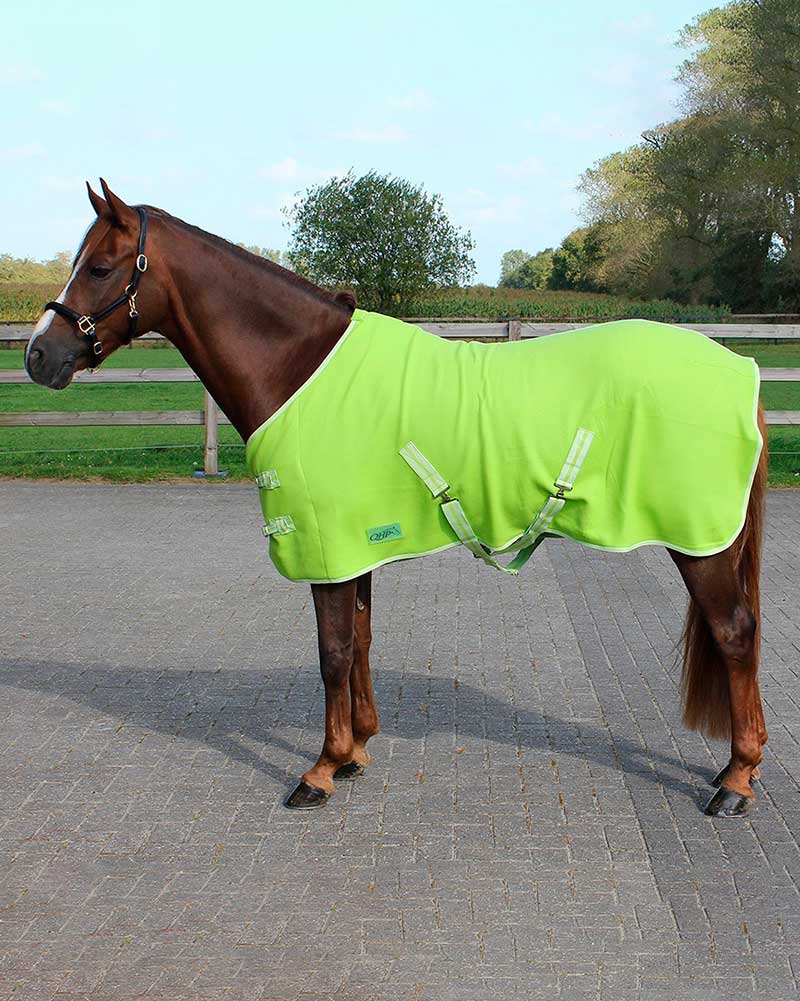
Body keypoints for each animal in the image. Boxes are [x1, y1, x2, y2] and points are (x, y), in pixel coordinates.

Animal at [25, 180, 769, 818]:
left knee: (735, 633)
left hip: (701, 541)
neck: (298, 367)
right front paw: (355, 749)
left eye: (100, 267)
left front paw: (321, 769)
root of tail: (741, 368)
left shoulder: (324, 548)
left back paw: (735, 781)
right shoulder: (354, 547)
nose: (38, 356)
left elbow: (330, 652)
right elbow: (358, 641)